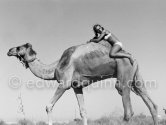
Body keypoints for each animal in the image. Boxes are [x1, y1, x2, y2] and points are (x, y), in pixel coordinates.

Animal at [7, 41, 158, 124]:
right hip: (136, 76)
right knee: (152, 105)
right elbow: (83, 112)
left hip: (124, 73)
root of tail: (133, 57)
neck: (55, 67)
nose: (9, 50)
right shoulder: (77, 86)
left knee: (128, 111)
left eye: (19, 47)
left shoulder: (64, 83)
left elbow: (48, 106)